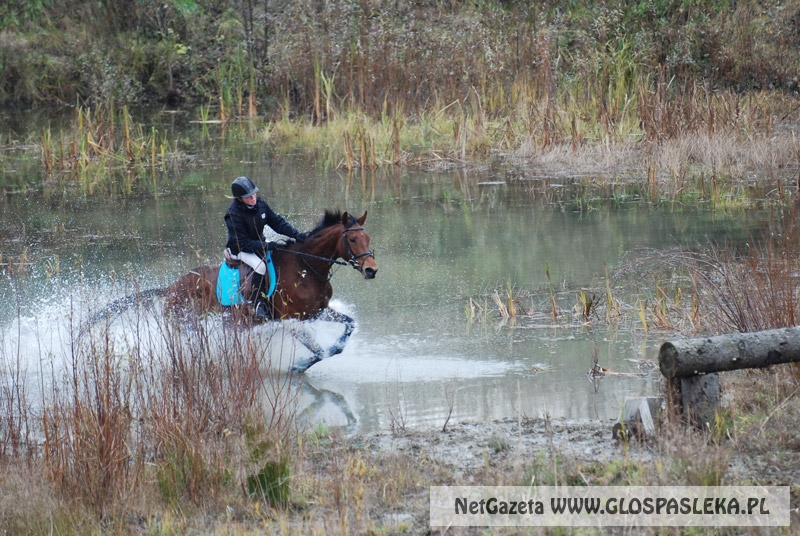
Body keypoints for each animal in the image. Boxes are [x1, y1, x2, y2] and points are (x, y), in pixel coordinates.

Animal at [83, 210, 376, 372]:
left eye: (368, 237)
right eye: (352, 239)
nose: (371, 270)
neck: (306, 268)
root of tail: (172, 287)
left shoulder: (316, 312)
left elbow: (346, 330)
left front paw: (326, 352)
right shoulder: (290, 319)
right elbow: (318, 350)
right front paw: (297, 366)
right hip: (186, 322)